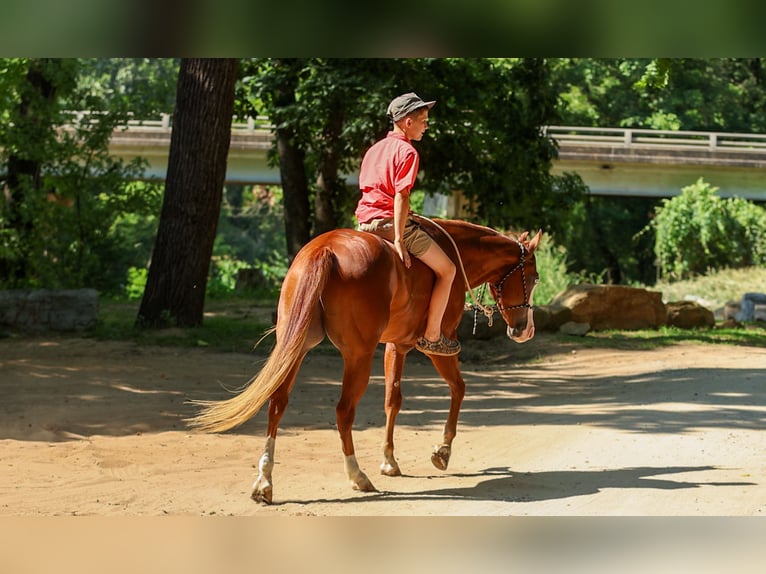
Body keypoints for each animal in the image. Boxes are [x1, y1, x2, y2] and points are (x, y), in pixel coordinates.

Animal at [188, 218, 542, 504]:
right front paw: (442, 451)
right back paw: (357, 475)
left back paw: (264, 481)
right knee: (344, 411)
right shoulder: (436, 347)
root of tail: (325, 249)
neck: (457, 255)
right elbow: (459, 388)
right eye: (535, 276)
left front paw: (389, 460)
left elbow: (392, 399)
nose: (525, 330)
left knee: (277, 402)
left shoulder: (396, 346)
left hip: (297, 346)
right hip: (358, 355)